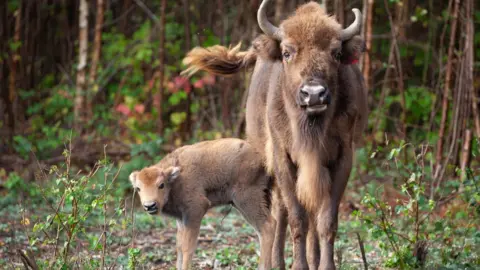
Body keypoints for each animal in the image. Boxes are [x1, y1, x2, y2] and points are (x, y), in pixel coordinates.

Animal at [129, 139, 276, 270]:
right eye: (138, 188)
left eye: (161, 185)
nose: (150, 205)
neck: (175, 180)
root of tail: (263, 159)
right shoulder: (181, 218)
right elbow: (179, 245)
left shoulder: (195, 210)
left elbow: (188, 247)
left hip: (246, 200)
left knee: (267, 227)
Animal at [183, 1, 368, 268]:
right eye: (287, 52)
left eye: (335, 53)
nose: (314, 94)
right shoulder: (283, 158)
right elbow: (297, 218)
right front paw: (298, 265)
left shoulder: (342, 159)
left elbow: (326, 221)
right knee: (280, 213)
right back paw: (278, 262)